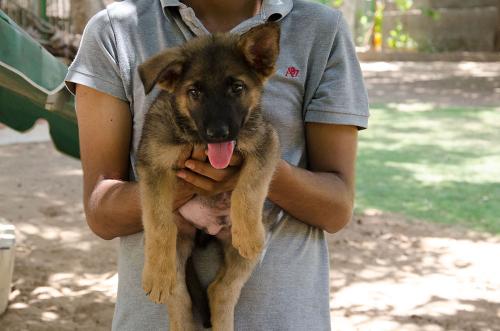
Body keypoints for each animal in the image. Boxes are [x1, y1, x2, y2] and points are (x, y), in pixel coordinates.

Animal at [137, 23, 280, 331]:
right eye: (194, 92)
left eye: (237, 88)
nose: (218, 134)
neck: (196, 139)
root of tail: (208, 229)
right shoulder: (152, 165)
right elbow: (158, 222)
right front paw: (156, 274)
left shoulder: (266, 143)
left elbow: (249, 188)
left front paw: (249, 234)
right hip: (180, 240)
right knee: (179, 294)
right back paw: (163, 279)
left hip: (238, 252)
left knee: (220, 290)